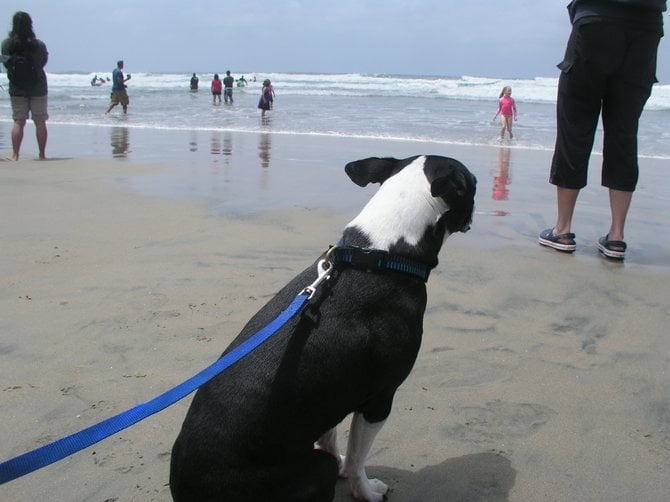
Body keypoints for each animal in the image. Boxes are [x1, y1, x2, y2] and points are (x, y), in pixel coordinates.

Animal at [172, 155, 478, 500]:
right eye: (473, 184)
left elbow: (330, 436)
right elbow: (358, 457)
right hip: (313, 470)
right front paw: (366, 491)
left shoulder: (330, 396)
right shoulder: (379, 399)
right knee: (326, 466)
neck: (381, 253)